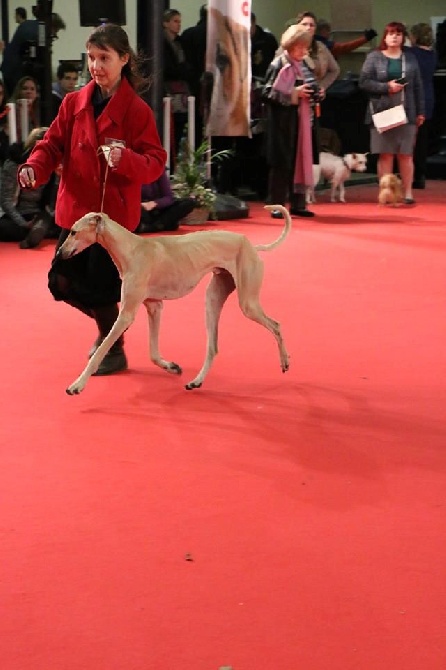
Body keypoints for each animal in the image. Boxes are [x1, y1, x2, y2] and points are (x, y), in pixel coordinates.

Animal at [56, 207, 292, 396]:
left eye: (73, 231)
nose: (59, 253)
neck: (132, 249)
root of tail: (250, 244)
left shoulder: (126, 315)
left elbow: (101, 350)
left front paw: (77, 385)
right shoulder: (154, 307)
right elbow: (153, 353)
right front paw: (170, 367)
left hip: (247, 304)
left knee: (276, 325)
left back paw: (285, 361)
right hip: (213, 300)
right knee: (213, 347)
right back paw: (196, 382)